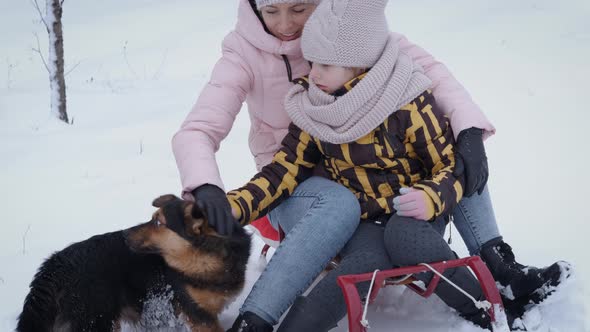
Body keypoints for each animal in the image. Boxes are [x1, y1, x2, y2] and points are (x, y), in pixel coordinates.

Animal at [15, 193, 252, 330]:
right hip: (97, 319)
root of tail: (57, 262)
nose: (124, 234)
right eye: (152, 218)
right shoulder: (198, 315)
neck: (204, 257)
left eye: (158, 222)